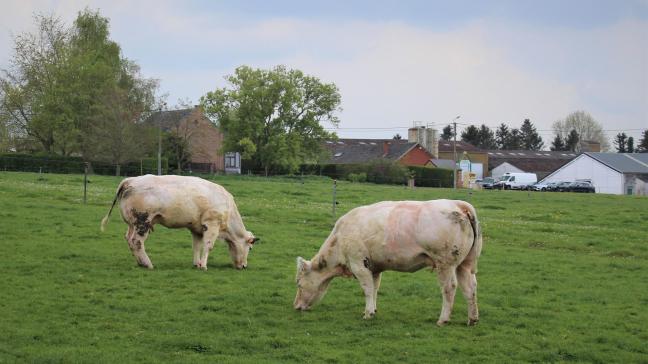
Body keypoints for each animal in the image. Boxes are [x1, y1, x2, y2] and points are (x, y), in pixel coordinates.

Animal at [100, 175, 256, 268]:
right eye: (250, 248)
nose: (244, 266)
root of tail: (129, 180)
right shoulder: (212, 225)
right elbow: (208, 245)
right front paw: (204, 266)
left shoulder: (197, 229)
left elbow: (197, 246)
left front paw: (197, 263)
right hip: (143, 222)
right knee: (136, 242)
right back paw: (148, 264)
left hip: (132, 224)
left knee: (129, 240)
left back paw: (141, 263)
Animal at [294, 199, 480, 328]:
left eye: (298, 283)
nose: (295, 306)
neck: (339, 239)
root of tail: (458, 204)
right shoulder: (375, 268)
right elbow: (375, 288)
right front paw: (373, 310)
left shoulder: (358, 264)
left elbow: (367, 289)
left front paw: (368, 313)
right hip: (466, 265)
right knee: (470, 288)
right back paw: (472, 319)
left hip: (445, 264)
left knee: (449, 288)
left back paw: (443, 319)